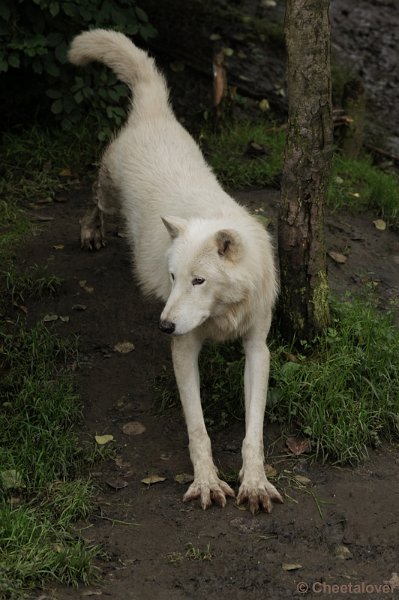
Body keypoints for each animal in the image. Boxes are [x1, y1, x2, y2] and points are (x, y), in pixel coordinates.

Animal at [69, 30, 282, 512]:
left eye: (198, 280)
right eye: (172, 279)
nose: (163, 325)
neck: (225, 314)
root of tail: (155, 109)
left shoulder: (257, 348)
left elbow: (254, 431)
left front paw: (254, 482)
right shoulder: (184, 348)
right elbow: (199, 429)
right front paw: (207, 482)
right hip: (108, 193)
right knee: (92, 200)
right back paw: (91, 232)